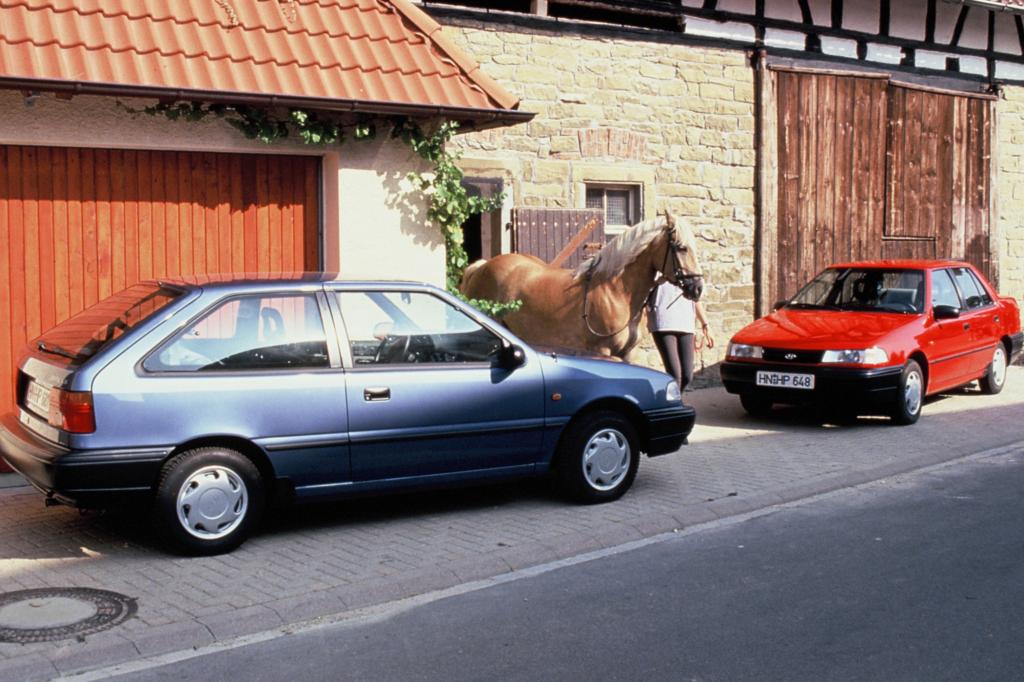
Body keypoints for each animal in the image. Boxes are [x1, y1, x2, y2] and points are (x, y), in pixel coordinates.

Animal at [460, 213, 704, 359]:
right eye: (681, 247)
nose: (698, 288)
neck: (615, 290)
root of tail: (482, 267)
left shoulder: (627, 353)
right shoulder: (601, 351)